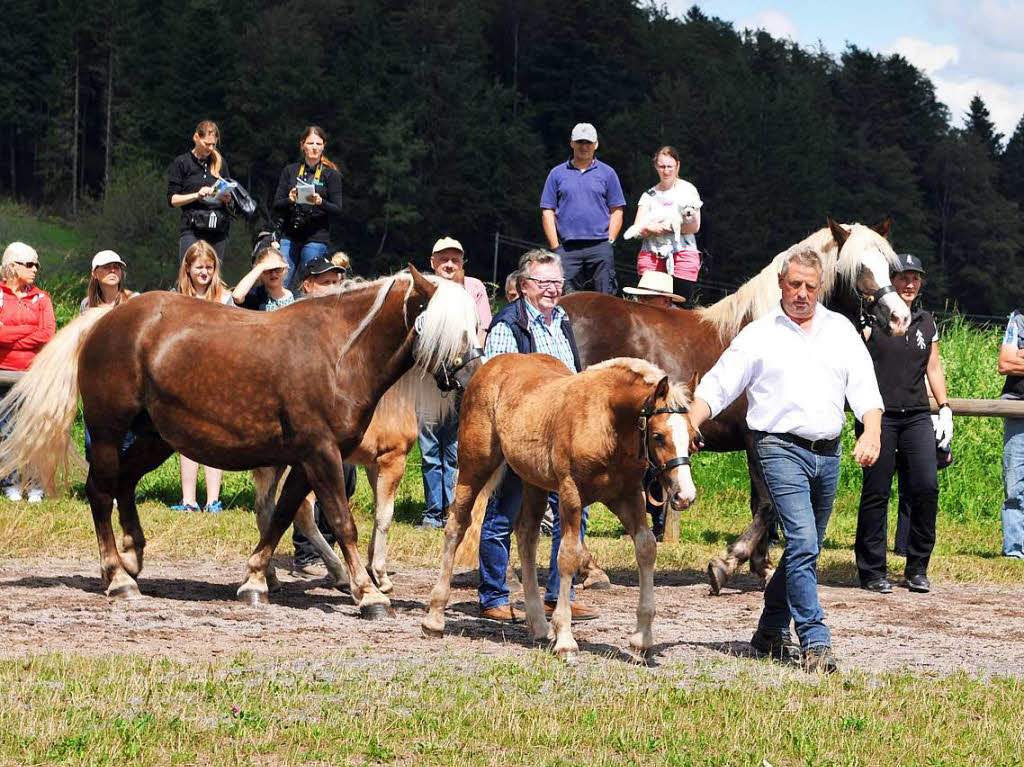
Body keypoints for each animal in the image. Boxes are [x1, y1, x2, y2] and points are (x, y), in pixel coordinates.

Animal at [0, 266, 479, 618]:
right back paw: (117, 577)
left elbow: (281, 517)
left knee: (125, 484)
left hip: (157, 438)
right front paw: (369, 592)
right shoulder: (321, 454)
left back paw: (132, 558)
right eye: (446, 326)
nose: (472, 377)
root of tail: (108, 316)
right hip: (107, 432)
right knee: (100, 492)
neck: (339, 354)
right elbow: (343, 522)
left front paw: (254, 581)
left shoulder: (305, 460)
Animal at [419, 352, 700, 659]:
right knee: (456, 527)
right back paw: (434, 619)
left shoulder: (627, 495)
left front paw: (642, 639)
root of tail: (491, 365)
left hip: (532, 482)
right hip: (475, 466)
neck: (607, 421)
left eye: (694, 437)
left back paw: (539, 625)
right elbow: (567, 555)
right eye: (658, 436)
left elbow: (647, 547)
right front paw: (565, 639)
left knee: (527, 536)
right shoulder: (570, 494)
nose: (684, 495)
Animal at [565, 215, 909, 593]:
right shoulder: (758, 439)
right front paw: (727, 563)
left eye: (888, 267)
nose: (900, 318)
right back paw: (590, 570)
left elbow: (762, 503)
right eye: (858, 269)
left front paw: (763, 567)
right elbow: (769, 505)